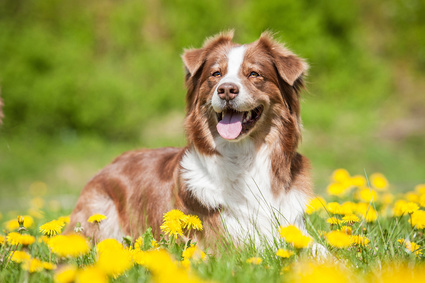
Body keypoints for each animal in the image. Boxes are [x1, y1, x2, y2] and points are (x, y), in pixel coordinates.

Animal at [65, 31, 312, 248]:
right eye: (216, 74)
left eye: (254, 74)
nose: (226, 90)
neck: (244, 157)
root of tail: (111, 163)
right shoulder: (228, 241)